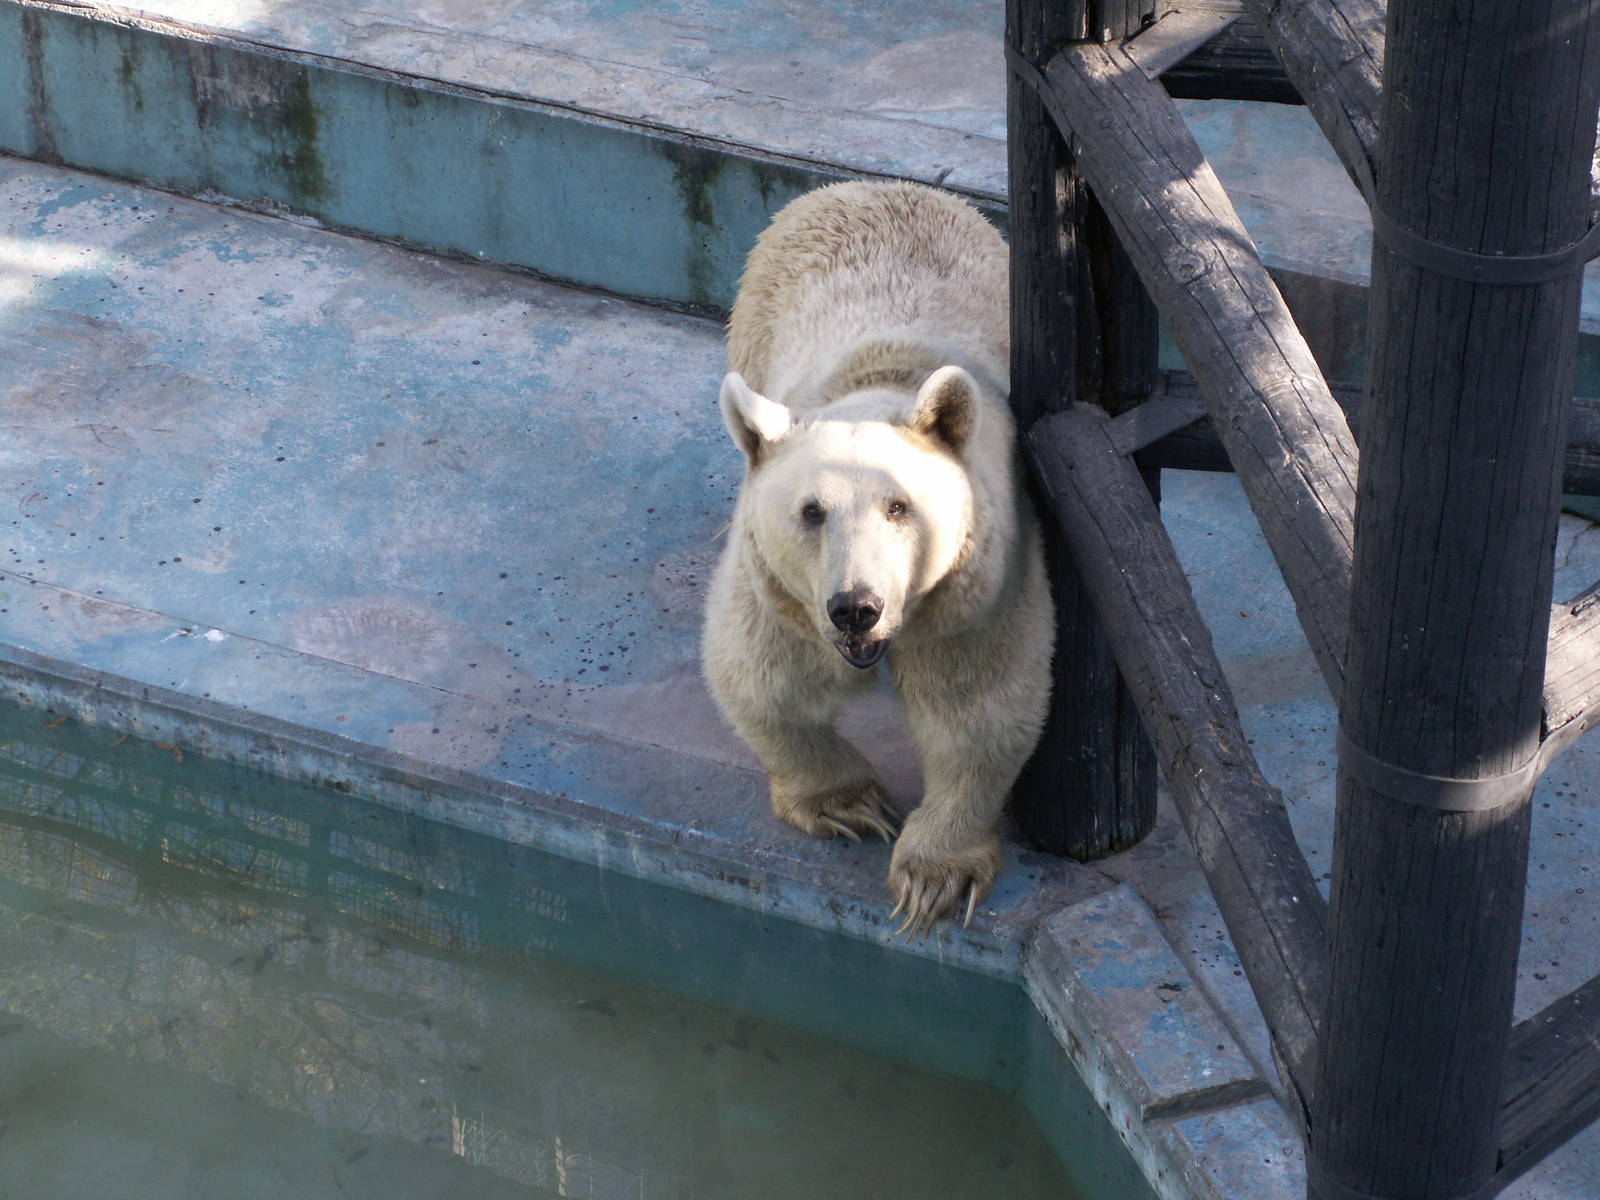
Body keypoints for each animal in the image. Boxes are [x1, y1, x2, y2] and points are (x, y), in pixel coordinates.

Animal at [702, 179, 1054, 937]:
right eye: (811, 512)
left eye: (900, 507)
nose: (856, 609)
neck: (881, 378)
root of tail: (873, 185)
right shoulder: (782, 589)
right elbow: (763, 678)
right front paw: (850, 805)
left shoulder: (975, 586)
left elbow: (977, 708)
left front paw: (935, 876)